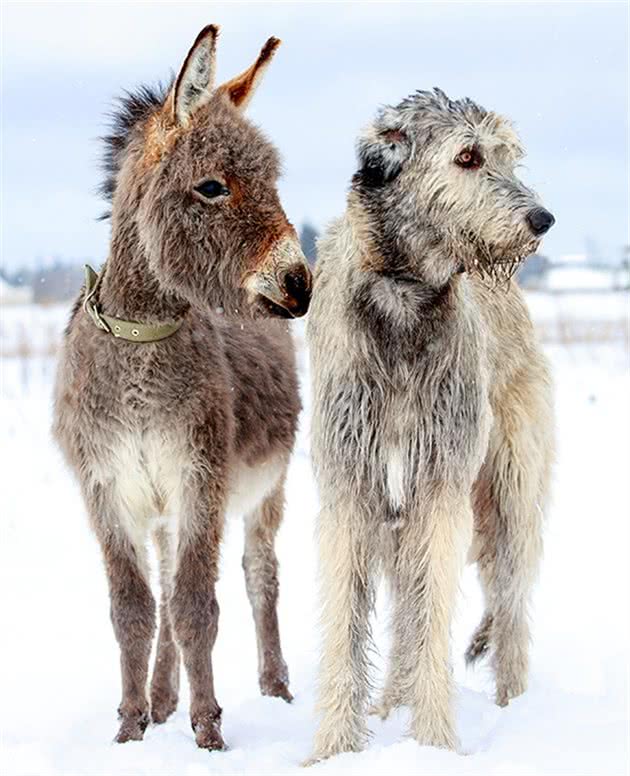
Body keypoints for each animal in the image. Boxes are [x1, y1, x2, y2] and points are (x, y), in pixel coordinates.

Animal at [308, 88, 556, 760]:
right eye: (467, 156)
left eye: (508, 155)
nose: (542, 220)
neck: (404, 295)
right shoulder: (350, 487)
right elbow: (346, 623)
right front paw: (333, 749)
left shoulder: (442, 485)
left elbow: (433, 615)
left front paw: (435, 745)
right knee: (405, 608)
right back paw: (390, 702)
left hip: (509, 490)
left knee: (510, 605)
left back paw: (516, 709)